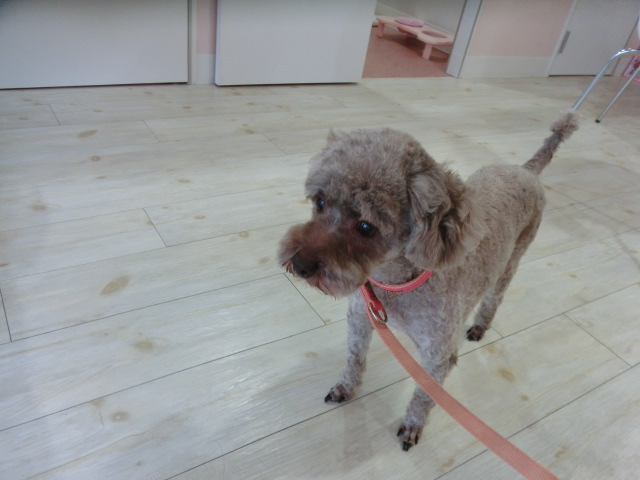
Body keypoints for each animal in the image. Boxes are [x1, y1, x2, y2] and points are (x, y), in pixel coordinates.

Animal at [278, 112, 578, 451]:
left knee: (494, 298)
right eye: (319, 202)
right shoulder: (360, 319)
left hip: (511, 262)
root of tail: (526, 170)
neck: (394, 282)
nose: (298, 265)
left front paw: (412, 426)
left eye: (366, 227)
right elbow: (354, 358)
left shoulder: (435, 355)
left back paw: (479, 326)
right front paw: (345, 387)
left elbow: (424, 394)